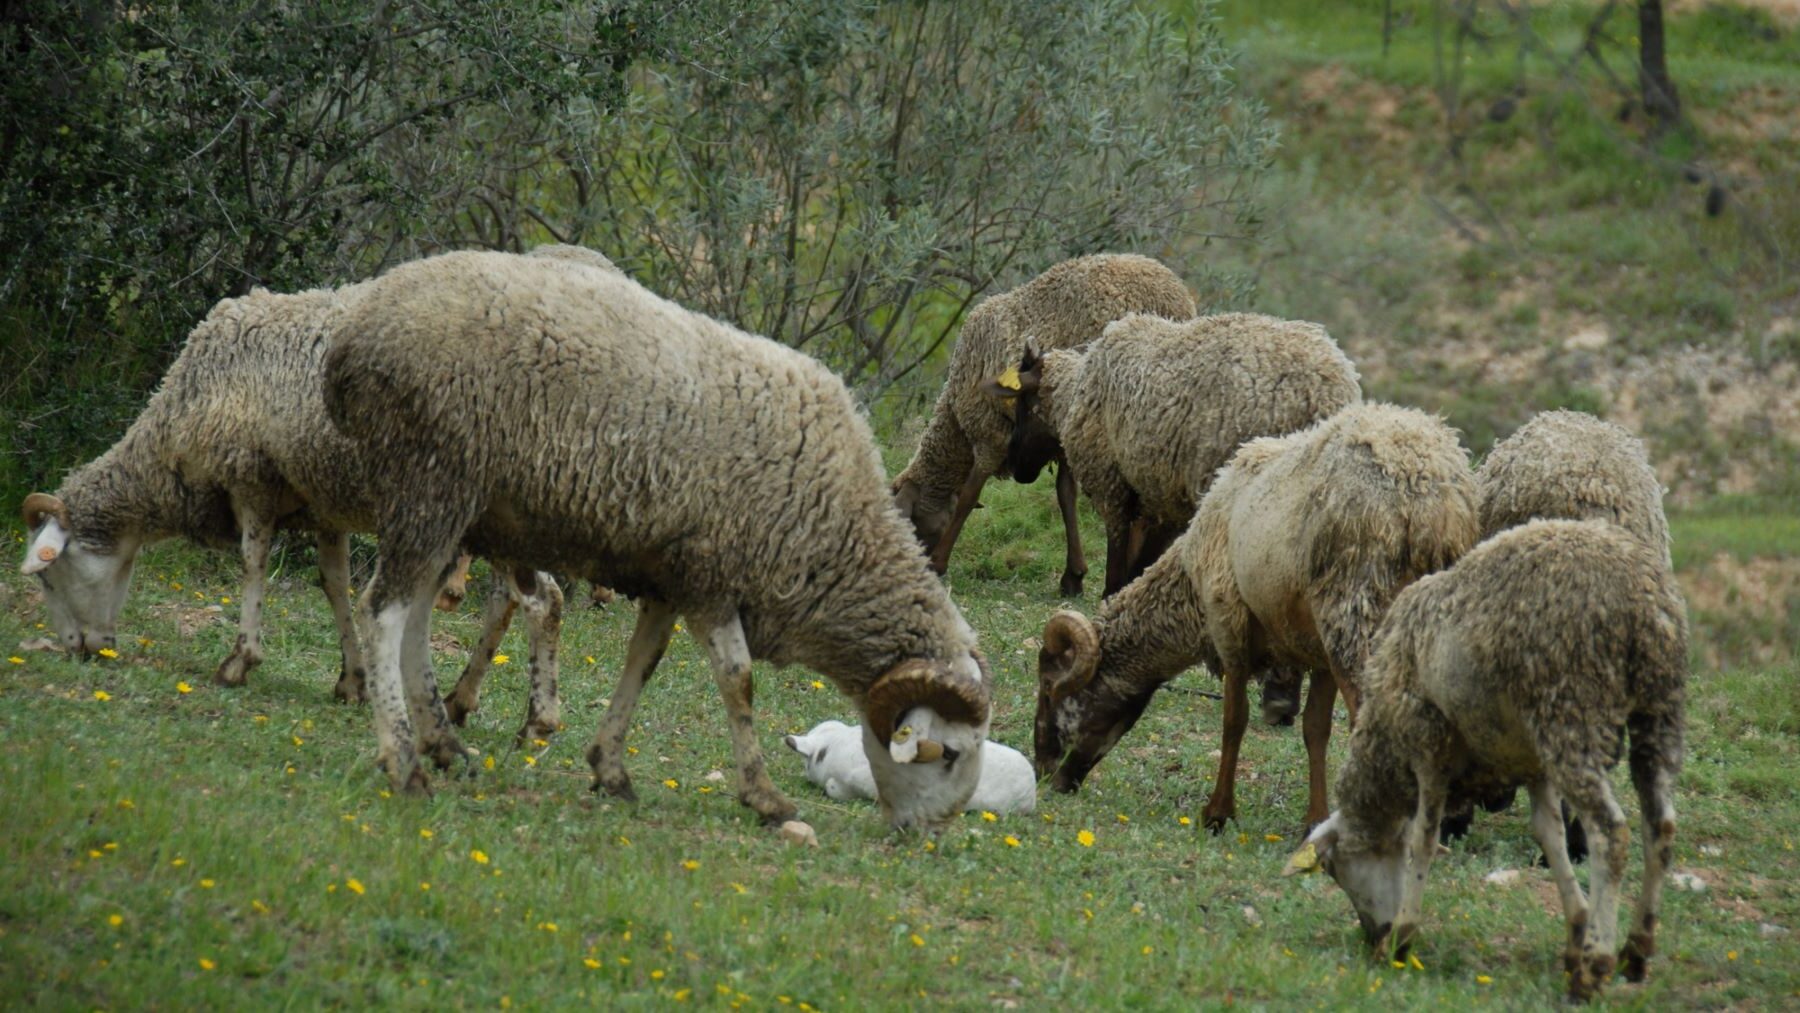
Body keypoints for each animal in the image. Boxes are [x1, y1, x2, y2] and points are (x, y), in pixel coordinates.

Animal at [325, 248, 1000, 831]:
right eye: (948, 754)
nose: (933, 834)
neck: (839, 535)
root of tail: (355, 331)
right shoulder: (714, 577)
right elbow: (738, 679)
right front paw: (764, 796)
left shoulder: (669, 578)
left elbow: (642, 663)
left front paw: (610, 769)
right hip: (429, 480)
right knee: (383, 612)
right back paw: (404, 763)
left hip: (450, 508)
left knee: (414, 618)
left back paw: (445, 745)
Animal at [889, 253, 1195, 597]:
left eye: (912, 523)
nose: (919, 565)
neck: (955, 421)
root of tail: (1173, 297)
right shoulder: (1059, 435)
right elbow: (1065, 494)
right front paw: (1073, 575)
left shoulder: (989, 434)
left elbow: (968, 495)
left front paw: (940, 562)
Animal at [1029, 403, 1476, 831]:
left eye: (1049, 690)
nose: (1047, 774)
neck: (1189, 590)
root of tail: (1426, 498)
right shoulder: (1317, 649)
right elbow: (1315, 729)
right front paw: (1313, 820)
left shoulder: (1229, 623)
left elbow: (1234, 720)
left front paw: (1217, 814)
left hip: (1354, 610)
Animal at [1281, 521, 1684, 1007]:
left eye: (1335, 869)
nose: (1371, 936)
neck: (1385, 748)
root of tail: (1640, 602)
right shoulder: (1533, 764)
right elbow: (1549, 836)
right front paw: (1575, 933)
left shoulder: (1428, 746)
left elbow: (1423, 840)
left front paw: (1402, 937)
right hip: (1655, 709)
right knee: (1659, 824)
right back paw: (1636, 950)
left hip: (1572, 712)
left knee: (1611, 833)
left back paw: (1596, 967)